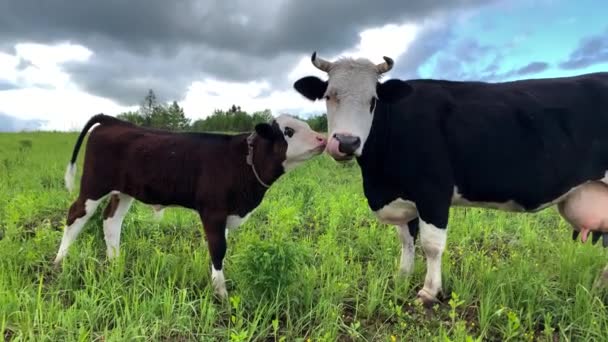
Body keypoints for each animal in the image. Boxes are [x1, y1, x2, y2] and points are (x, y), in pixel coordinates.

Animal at [54, 112, 326, 296]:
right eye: (289, 131)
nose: (322, 138)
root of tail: (113, 121)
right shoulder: (213, 211)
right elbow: (218, 249)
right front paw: (221, 294)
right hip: (94, 185)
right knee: (75, 214)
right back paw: (60, 261)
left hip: (123, 191)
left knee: (111, 221)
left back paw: (115, 262)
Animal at [294, 51, 608, 304]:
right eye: (329, 96)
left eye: (373, 100)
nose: (347, 143)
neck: (379, 181)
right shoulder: (403, 197)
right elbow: (406, 239)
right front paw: (401, 277)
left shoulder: (433, 192)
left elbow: (432, 245)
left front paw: (428, 292)